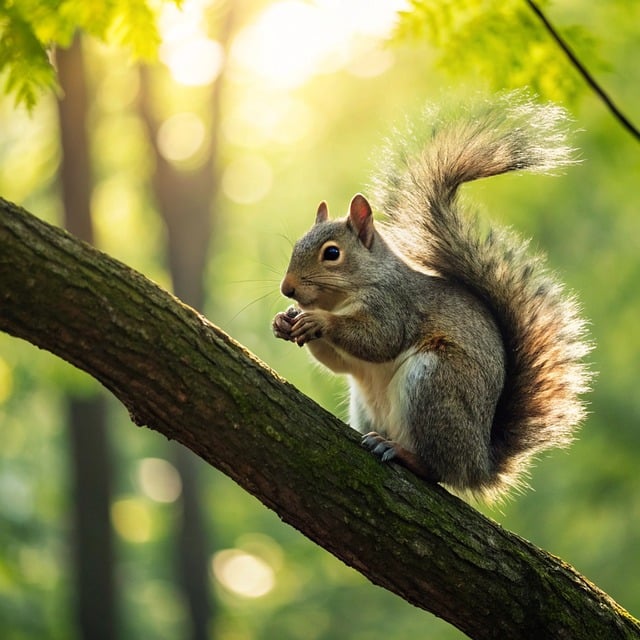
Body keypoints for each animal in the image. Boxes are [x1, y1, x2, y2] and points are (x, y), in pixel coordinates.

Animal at [272, 92, 592, 501]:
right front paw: (284, 320)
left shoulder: (395, 306)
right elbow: (340, 362)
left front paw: (318, 321)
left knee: (439, 470)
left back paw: (403, 453)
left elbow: (378, 340)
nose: (288, 288)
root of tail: (478, 464)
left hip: (434, 383)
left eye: (332, 253)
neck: (349, 294)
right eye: (298, 243)